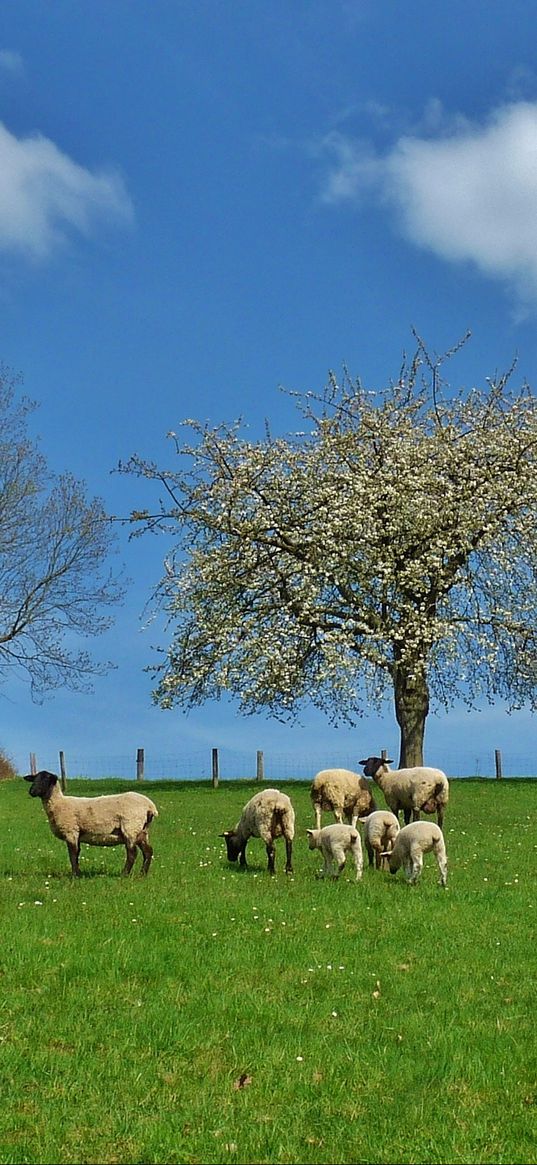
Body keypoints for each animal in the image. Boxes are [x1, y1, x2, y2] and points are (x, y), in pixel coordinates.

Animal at [24, 773, 158, 876]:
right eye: (34, 779)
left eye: (46, 779)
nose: (31, 791)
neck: (59, 804)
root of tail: (150, 806)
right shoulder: (76, 834)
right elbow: (77, 853)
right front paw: (78, 873)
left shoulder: (71, 831)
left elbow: (72, 854)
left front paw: (75, 875)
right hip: (142, 831)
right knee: (148, 852)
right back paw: (142, 874)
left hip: (131, 827)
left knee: (132, 853)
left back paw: (124, 874)